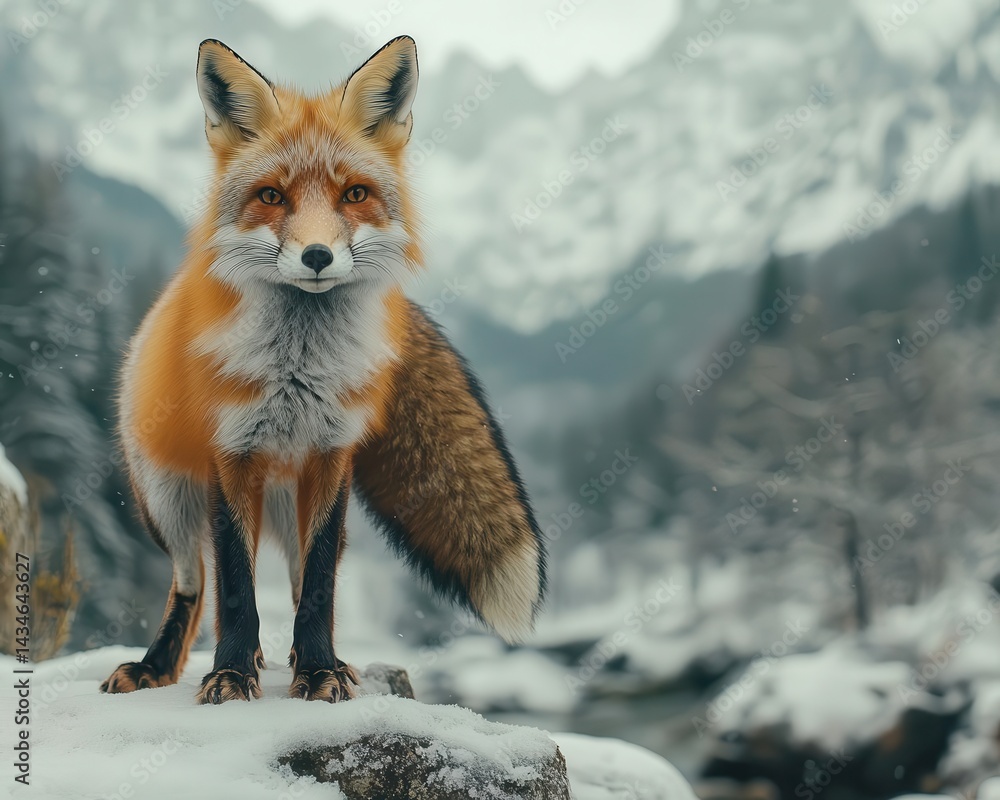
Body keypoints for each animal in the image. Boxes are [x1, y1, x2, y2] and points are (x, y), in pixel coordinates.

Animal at [99, 37, 546, 704]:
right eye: (272, 196)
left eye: (354, 194)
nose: (317, 256)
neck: (298, 372)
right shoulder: (231, 454)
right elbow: (235, 586)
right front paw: (230, 674)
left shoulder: (333, 455)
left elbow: (316, 589)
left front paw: (317, 671)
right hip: (165, 497)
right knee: (193, 583)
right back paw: (159, 666)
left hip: (296, 502)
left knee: (293, 579)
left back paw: (310, 659)